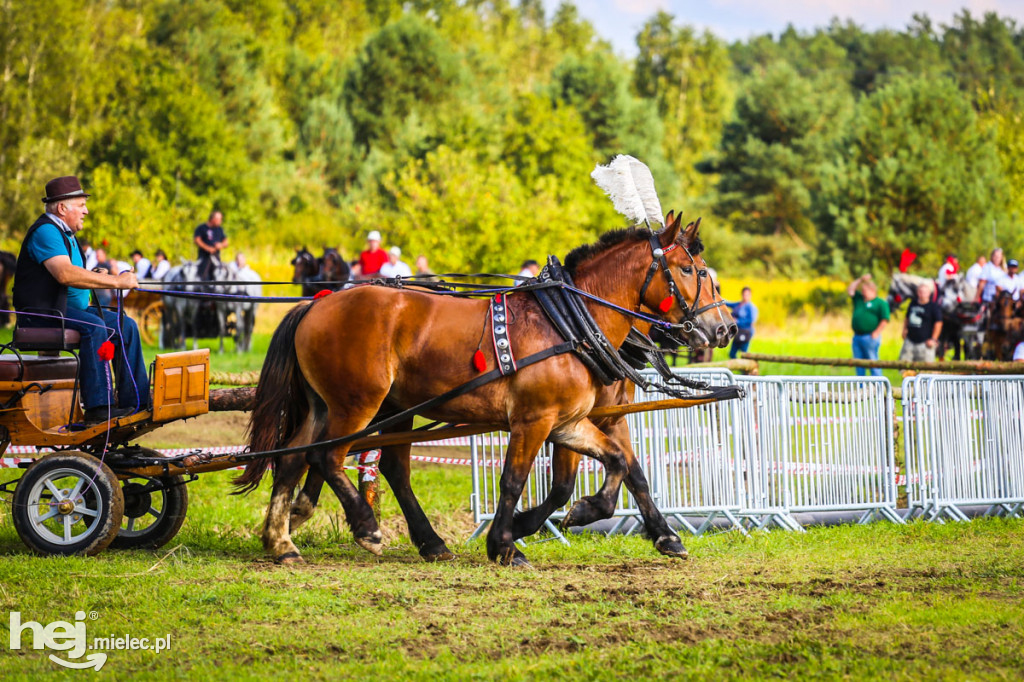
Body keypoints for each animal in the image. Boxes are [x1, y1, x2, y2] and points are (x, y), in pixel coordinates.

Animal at [237, 216, 737, 561]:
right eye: (691, 270)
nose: (724, 328)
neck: (570, 323)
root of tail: (317, 302)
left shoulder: (571, 422)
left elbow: (615, 468)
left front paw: (585, 515)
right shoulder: (534, 420)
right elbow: (515, 479)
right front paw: (505, 542)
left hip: (343, 405)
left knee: (299, 457)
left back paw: (285, 541)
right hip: (358, 404)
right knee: (328, 456)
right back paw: (365, 525)